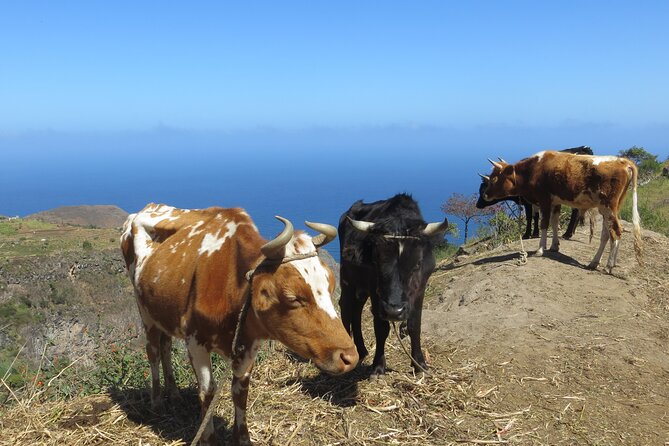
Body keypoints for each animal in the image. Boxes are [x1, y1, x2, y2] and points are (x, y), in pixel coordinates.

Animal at [122, 204, 358, 444]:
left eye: (331, 285)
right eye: (293, 298)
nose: (350, 357)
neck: (229, 286)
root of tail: (147, 208)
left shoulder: (249, 343)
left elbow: (240, 391)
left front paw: (243, 438)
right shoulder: (195, 340)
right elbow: (207, 391)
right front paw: (208, 438)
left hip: (164, 314)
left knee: (166, 346)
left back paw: (175, 394)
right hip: (145, 311)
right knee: (152, 351)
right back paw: (157, 402)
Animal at [340, 194, 448, 376]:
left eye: (417, 264)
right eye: (376, 261)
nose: (394, 312)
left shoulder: (420, 289)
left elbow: (414, 325)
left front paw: (419, 364)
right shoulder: (376, 293)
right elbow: (381, 328)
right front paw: (378, 366)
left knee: (356, 311)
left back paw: (362, 351)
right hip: (347, 281)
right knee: (346, 310)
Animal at [480, 152, 640, 274]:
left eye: (494, 178)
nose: (486, 195)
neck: (533, 169)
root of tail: (622, 161)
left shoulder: (544, 199)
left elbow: (544, 223)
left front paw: (540, 249)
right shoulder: (555, 202)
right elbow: (554, 222)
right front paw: (554, 246)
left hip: (608, 206)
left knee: (616, 231)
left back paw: (609, 265)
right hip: (608, 208)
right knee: (606, 234)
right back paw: (595, 262)